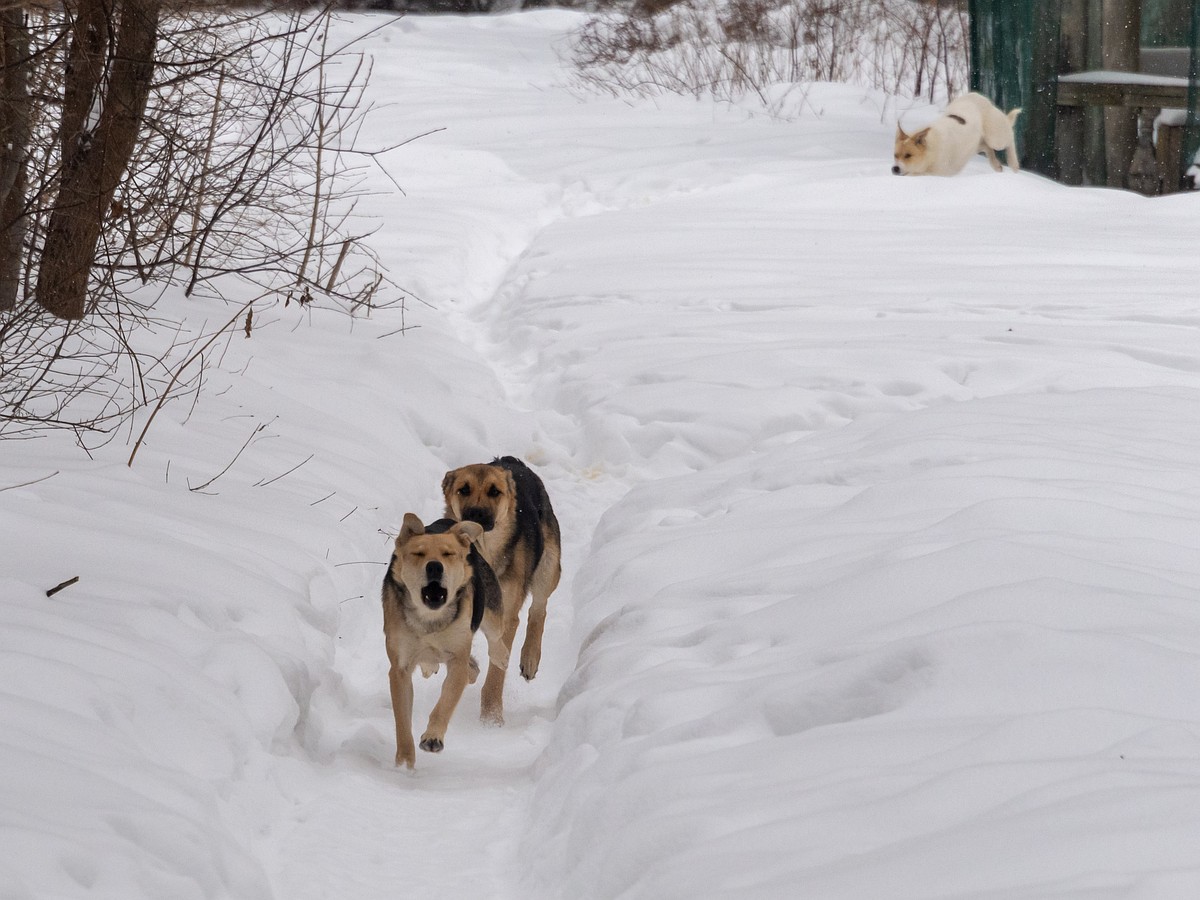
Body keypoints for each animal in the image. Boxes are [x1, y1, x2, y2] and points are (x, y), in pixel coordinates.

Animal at [379, 513, 501, 768]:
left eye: (447, 554)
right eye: (418, 553)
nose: (434, 566)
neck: (430, 620)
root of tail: (447, 522)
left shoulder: (457, 657)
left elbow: (445, 703)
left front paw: (433, 737)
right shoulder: (400, 667)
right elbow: (402, 719)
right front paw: (404, 762)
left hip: (489, 609)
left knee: (496, 637)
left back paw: (501, 656)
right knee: (466, 667)